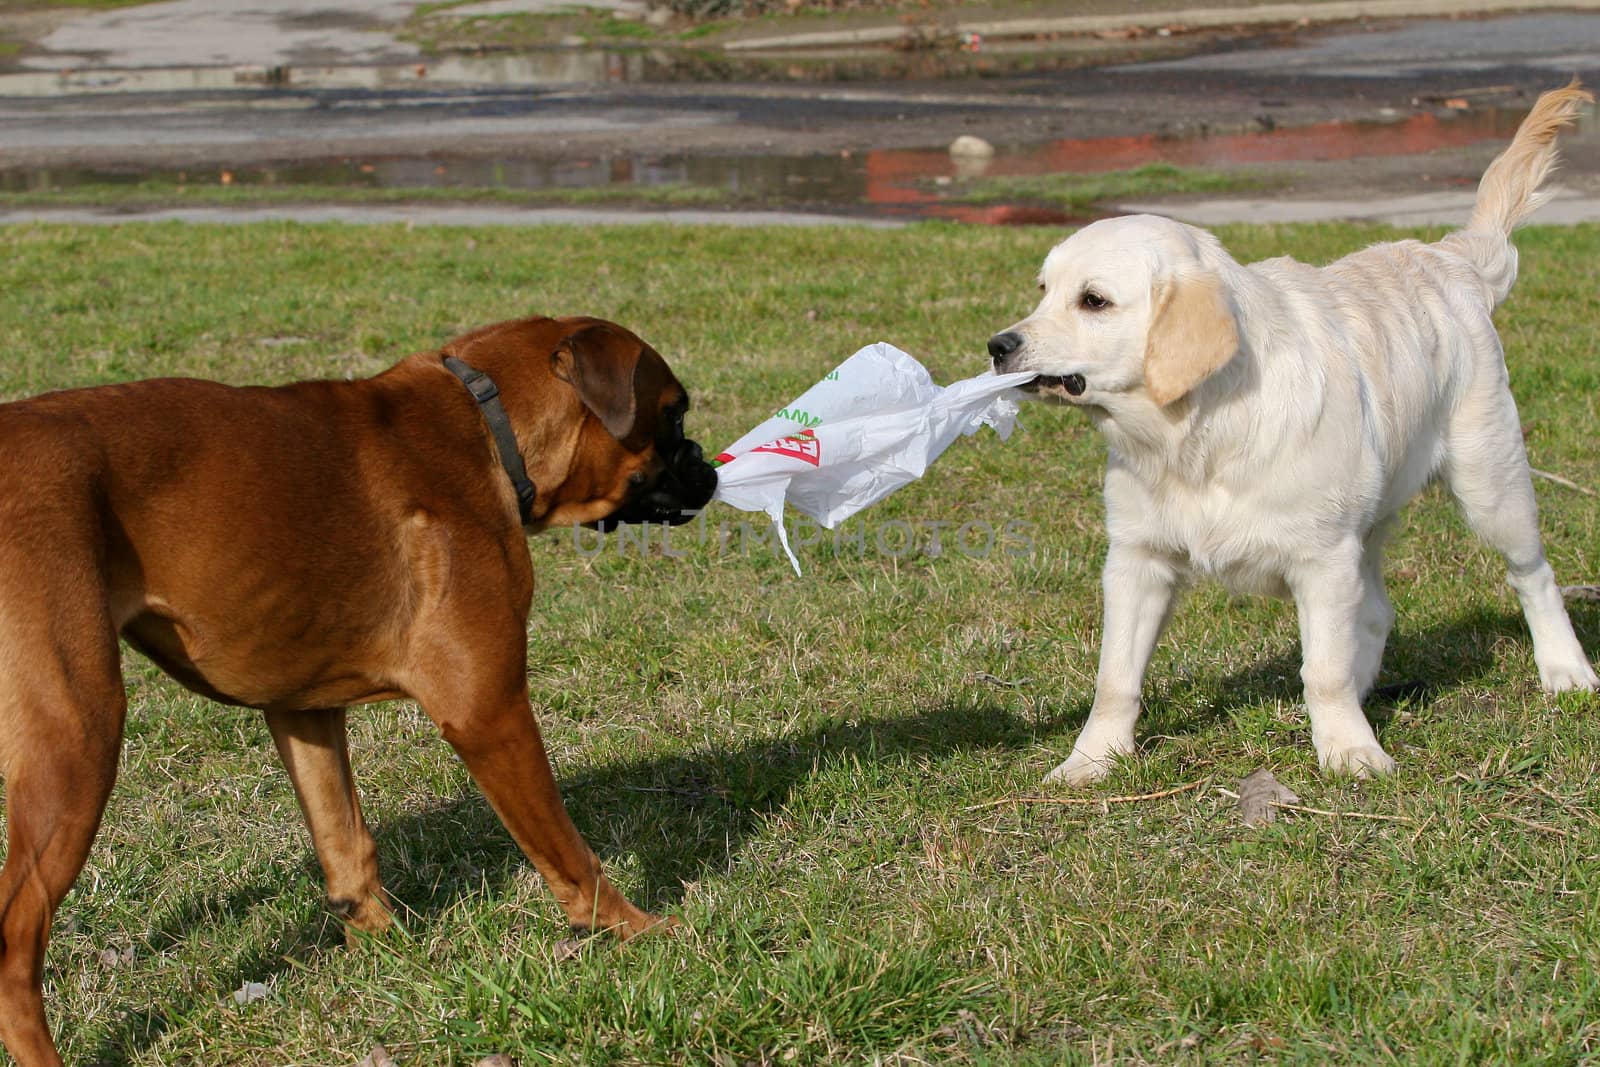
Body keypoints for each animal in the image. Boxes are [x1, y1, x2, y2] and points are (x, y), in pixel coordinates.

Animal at [0, 313, 720, 1062]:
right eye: (674, 415)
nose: (708, 464)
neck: (484, 421)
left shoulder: (304, 708)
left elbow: (344, 840)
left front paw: (387, 951)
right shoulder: (489, 711)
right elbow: (568, 849)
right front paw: (629, 925)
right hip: (76, 739)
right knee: (15, 948)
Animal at [992, 83, 1593, 783]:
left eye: (1093, 301)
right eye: (1044, 290)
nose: (999, 347)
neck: (1201, 435)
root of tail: (1448, 257)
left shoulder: (1323, 558)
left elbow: (1323, 671)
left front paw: (1349, 751)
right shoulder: (1137, 559)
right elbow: (1116, 677)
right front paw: (1092, 761)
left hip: (1491, 484)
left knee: (1534, 575)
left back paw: (1565, 670)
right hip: (1374, 518)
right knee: (1380, 610)